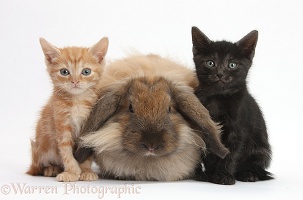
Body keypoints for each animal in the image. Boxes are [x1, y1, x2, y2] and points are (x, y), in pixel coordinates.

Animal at [26, 36, 108, 182]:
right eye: (64, 72)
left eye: (86, 71)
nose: (75, 81)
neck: (77, 102)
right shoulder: (61, 124)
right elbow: (66, 151)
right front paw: (72, 172)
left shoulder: (89, 125)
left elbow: (85, 149)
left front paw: (86, 170)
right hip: (40, 148)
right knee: (39, 168)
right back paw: (51, 169)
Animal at [194, 26, 274, 184]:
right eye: (210, 63)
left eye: (232, 65)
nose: (220, 74)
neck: (217, 98)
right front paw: (197, 173)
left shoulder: (236, 129)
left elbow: (230, 153)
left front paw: (223, 175)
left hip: (263, 151)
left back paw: (248, 174)